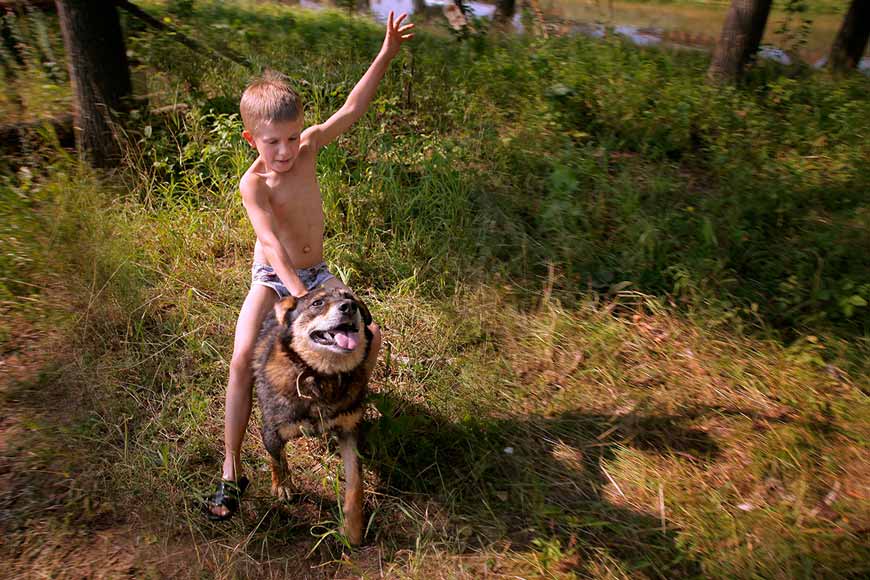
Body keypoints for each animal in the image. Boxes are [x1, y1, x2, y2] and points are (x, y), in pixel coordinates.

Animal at [254, 288, 372, 548]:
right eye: (317, 303)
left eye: (351, 297)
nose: (349, 306)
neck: (321, 377)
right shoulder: (272, 431)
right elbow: (277, 459)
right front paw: (282, 486)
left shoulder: (350, 431)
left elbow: (355, 484)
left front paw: (352, 528)